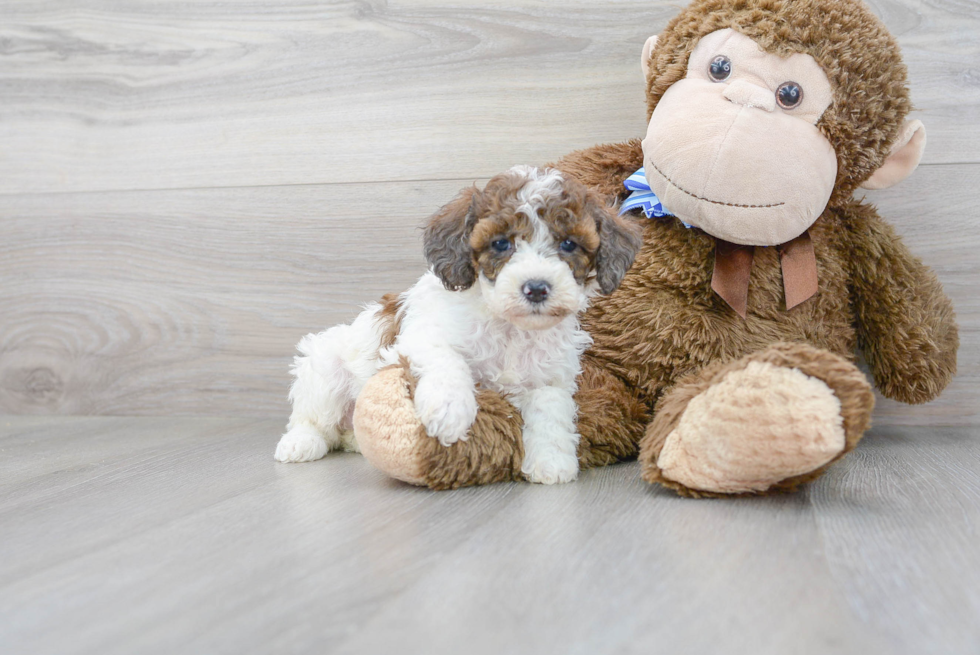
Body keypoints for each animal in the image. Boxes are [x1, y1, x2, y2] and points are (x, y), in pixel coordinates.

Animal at [276, 167, 644, 484]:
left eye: (568, 244)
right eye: (501, 243)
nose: (537, 288)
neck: (509, 327)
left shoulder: (549, 375)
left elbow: (551, 409)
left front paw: (552, 460)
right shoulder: (419, 338)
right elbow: (447, 361)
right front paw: (450, 410)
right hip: (324, 369)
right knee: (312, 417)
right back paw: (300, 443)